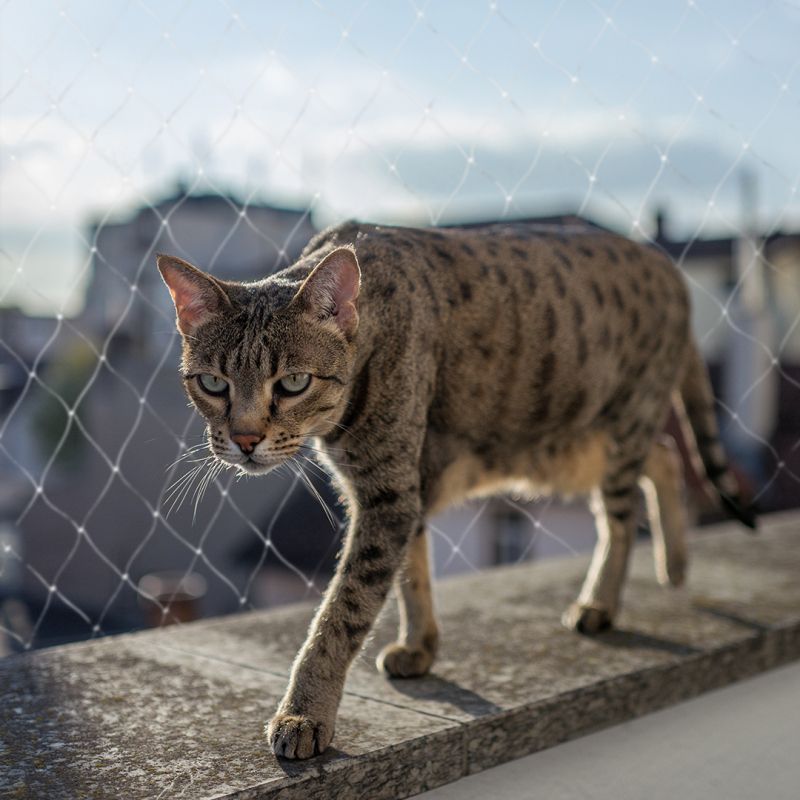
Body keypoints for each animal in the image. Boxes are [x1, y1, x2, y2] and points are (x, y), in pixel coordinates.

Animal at [156, 217, 756, 756]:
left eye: (293, 382)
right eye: (212, 383)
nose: (245, 439)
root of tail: (666, 264)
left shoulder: (389, 496)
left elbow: (341, 613)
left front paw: (303, 713)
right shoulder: (399, 487)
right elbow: (411, 577)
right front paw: (419, 646)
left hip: (617, 425)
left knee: (621, 516)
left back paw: (601, 602)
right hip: (579, 446)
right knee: (667, 457)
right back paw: (674, 563)